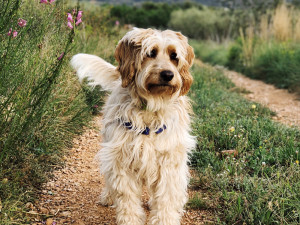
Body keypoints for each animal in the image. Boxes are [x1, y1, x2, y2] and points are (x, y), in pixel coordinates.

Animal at [71, 28, 197, 225]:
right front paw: (129, 218)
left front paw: (164, 219)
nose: (168, 75)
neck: (151, 108)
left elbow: (166, 198)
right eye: (151, 53)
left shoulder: (168, 160)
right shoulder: (121, 159)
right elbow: (126, 198)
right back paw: (108, 196)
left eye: (174, 56)